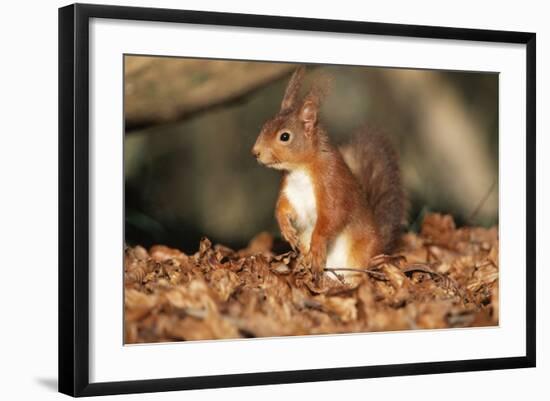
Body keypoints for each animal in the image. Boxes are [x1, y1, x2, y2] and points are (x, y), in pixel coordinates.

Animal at [251, 65, 406, 280]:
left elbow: (332, 217)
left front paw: (317, 247)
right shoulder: (290, 191)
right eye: (265, 125)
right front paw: (287, 231)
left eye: (285, 136)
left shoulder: (332, 184)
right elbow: (282, 208)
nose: (255, 152)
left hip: (361, 253)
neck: (300, 171)